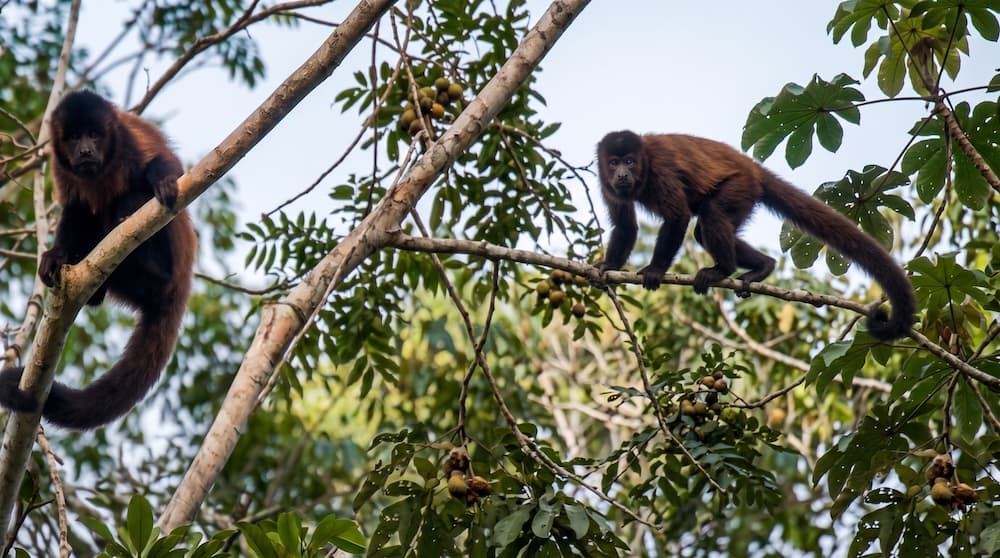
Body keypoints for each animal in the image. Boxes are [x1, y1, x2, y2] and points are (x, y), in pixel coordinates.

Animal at [0, 90, 196, 429]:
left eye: (94, 134)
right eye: (74, 137)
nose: (85, 150)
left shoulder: (129, 138)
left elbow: (164, 162)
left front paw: (165, 181)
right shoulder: (60, 165)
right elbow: (74, 210)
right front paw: (55, 257)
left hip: (169, 265)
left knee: (132, 199)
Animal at [594, 130, 915, 341]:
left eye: (629, 161)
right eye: (613, 163)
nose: (622, 174)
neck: (644, 164)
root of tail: (752, 167)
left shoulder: (660, 170)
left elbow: (677, 217)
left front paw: (656, 269)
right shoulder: (605, 183)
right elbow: (626, 227)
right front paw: (608, 266)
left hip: (740, 186)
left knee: (712, 215)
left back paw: (723, 269)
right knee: (703, 231)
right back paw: (763, 266)